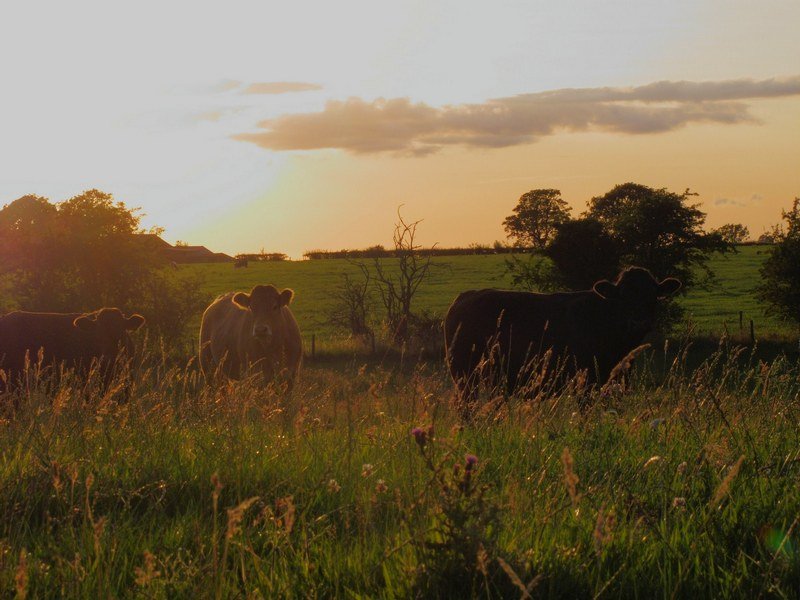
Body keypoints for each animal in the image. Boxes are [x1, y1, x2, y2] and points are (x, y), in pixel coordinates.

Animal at [444, 264, 680, 414]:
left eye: (653, 296)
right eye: (622, 296)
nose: (639, 322)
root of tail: (466, 296)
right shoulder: (586, 381)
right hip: (465, 377)